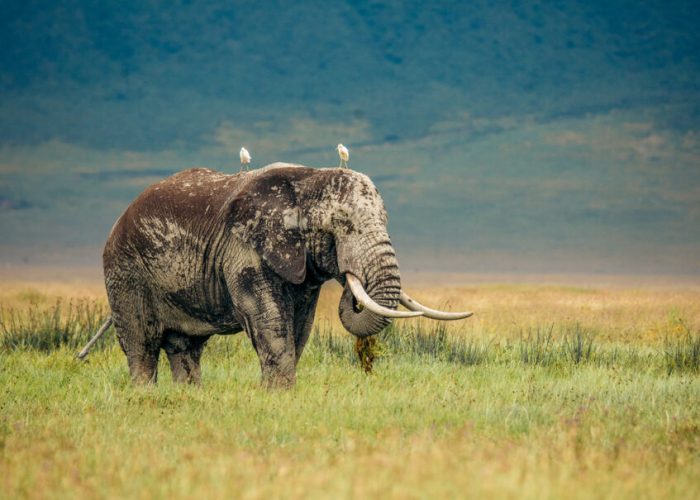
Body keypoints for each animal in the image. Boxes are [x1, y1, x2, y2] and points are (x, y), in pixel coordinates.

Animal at [97, 163, 472, 387]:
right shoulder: (244, 250)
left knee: (185, 347)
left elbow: (299, 325)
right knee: (141, 344)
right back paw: (146, 395)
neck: (308, 180)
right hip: (125, 270)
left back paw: (189, 394)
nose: (351, 283)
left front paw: (278, 393)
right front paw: (275, 394)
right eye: (343, 225)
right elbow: (268, 319)